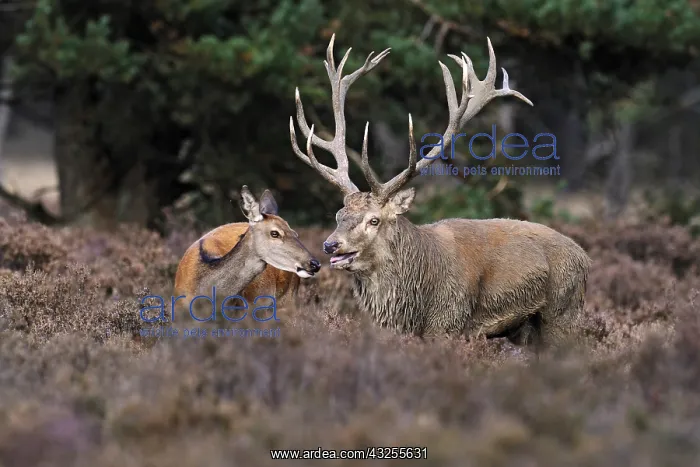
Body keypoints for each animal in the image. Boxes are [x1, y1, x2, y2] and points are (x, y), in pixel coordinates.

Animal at [288, 35, 591, 348]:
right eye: (339, 215)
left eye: (374, 220)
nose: (330, 245)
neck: (416, 305)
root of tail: (584, 257)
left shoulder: (450, 321)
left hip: (563, 312)